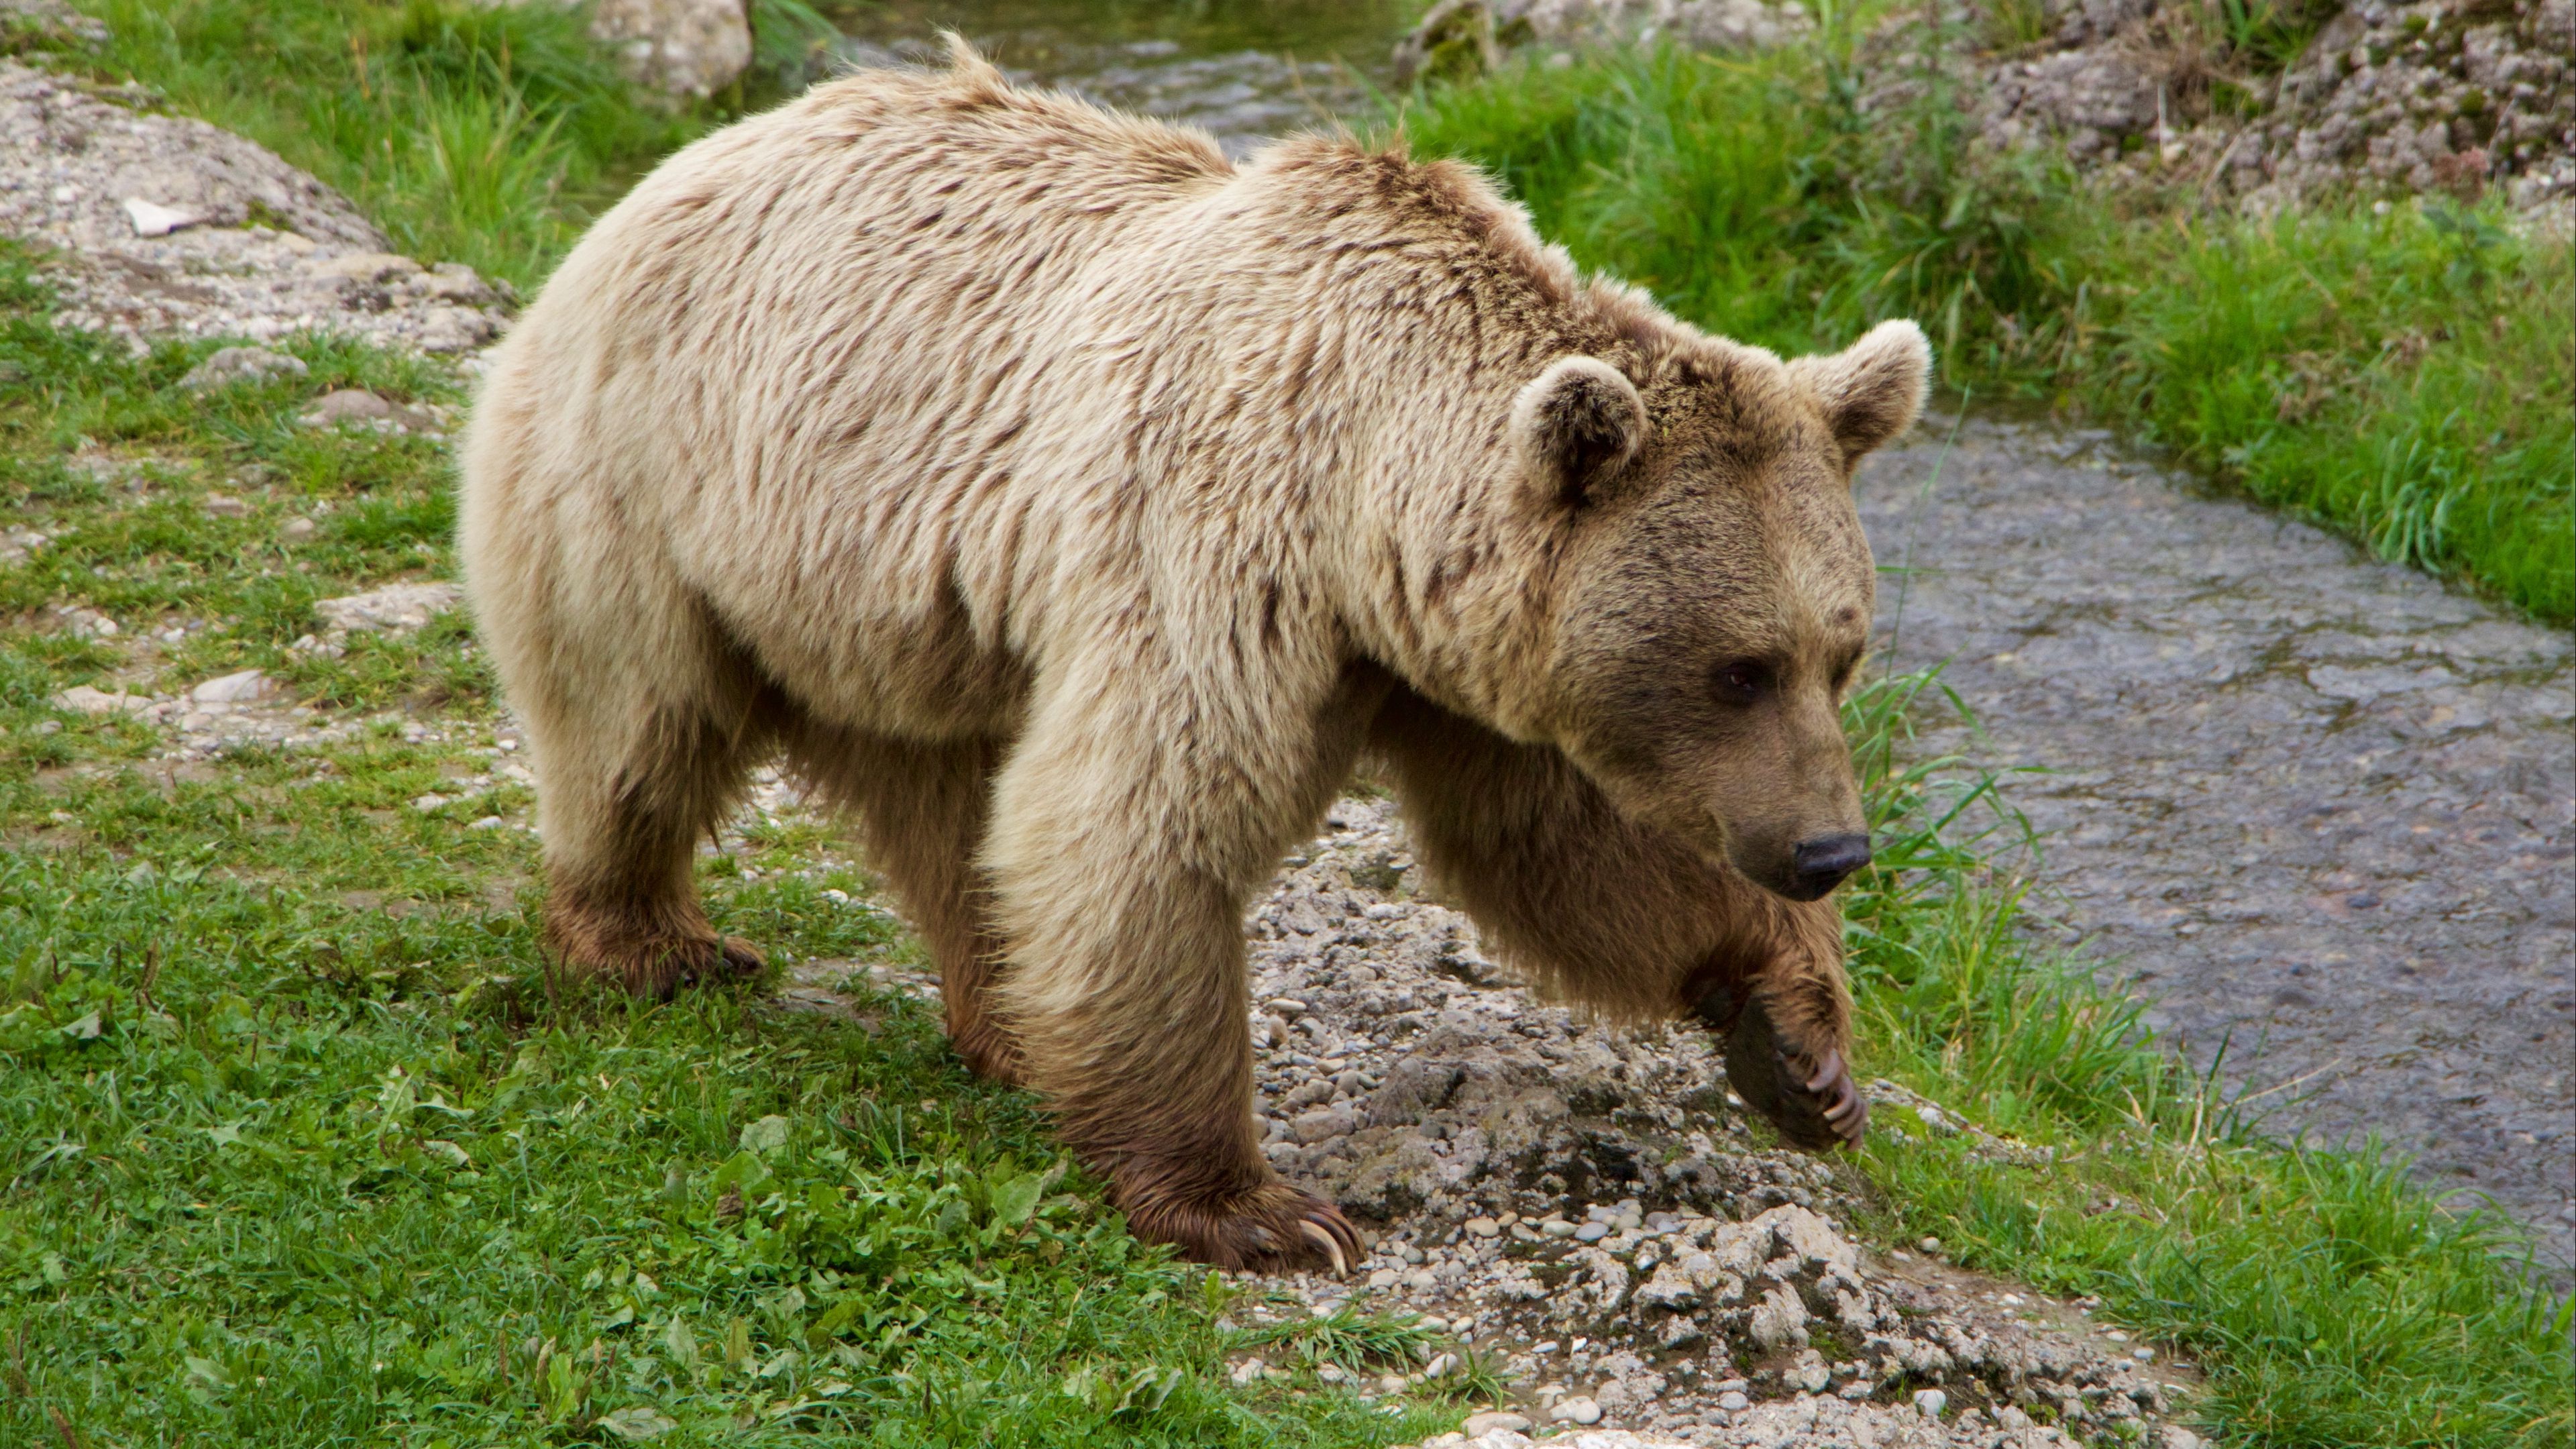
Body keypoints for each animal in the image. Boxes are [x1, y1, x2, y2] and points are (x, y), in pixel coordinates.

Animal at [459, 42, 1928, 1274]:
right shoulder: (1216, 545)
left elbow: (1561, 845)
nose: (1830, 850)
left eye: (1840, 653)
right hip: (664, 484)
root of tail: (672, 170)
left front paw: (1800, 1047)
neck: (1367, 502)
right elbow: (1147, 820)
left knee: (953, 811)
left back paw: (1008, 1021)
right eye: (1737, 667)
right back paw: (654, 942)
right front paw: (1260, 1210)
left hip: (896, 614)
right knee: (638, 723)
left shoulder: (1456, 663)